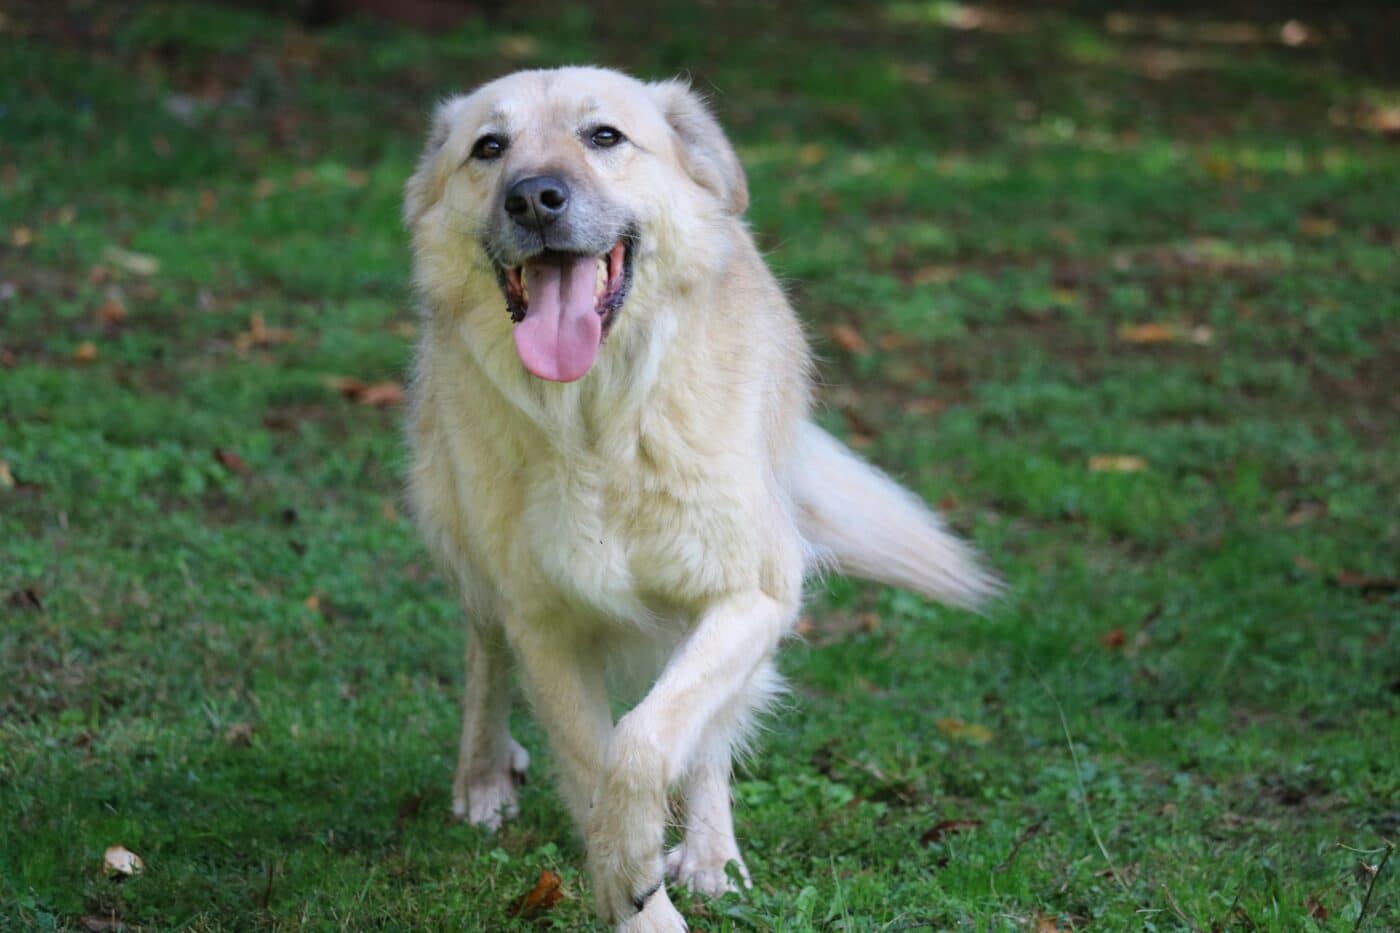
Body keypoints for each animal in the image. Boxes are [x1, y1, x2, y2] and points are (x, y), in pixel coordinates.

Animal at [403, 67, 996, 930]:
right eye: (489, 147)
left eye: (604, 136)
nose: (534, 199)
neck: (597, 423)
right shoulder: (542, 622)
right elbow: (592, 757)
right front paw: (636, 898)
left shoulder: (752, 594)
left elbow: (645, 740)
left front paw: (642, 861)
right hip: (463, 539)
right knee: (485, 650)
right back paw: (482, 773)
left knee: (704, 731)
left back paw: (712, 853)